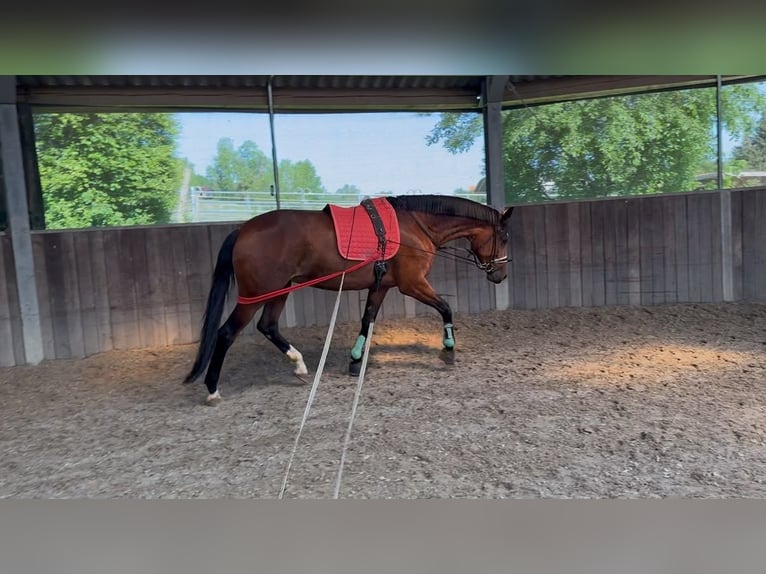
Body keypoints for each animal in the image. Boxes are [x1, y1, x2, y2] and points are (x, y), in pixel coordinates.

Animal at [183, 194, 514, 405]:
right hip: (255, 296)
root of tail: (242, 229)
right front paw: (448, 349)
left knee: (268, 326)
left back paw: (299, 364)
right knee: (226, 334)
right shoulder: (412, 284)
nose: (501, 275)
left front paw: (355, 361)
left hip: (279, 290)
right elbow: (446, 308)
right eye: (505, 237)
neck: (413, 226)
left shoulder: (382, 285)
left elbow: (367, 319)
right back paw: (212, 389)